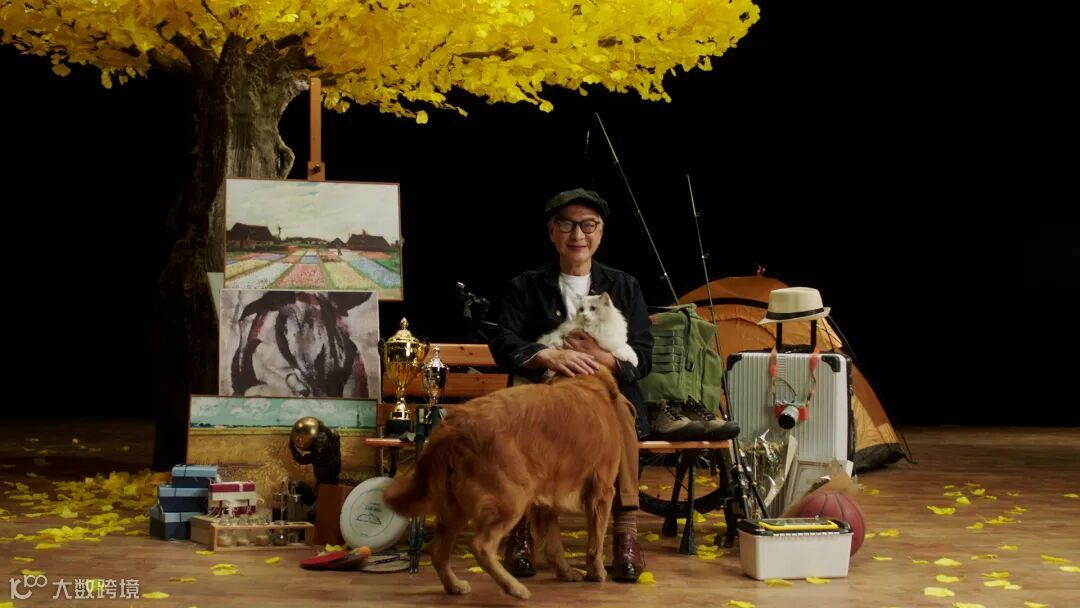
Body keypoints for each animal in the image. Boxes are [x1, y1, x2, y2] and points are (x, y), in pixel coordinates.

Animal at [383, 366, 629, 599]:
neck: (583, 382)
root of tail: (452, 428)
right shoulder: (602, 492)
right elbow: (595, 542)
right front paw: (597, 572)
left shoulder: (546, 503)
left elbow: (554, 545)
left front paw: (566, 572)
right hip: (511, 500)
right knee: (480, 545)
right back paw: (514, 587)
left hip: (457, 508)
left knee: (437, 550)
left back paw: (454, 585)